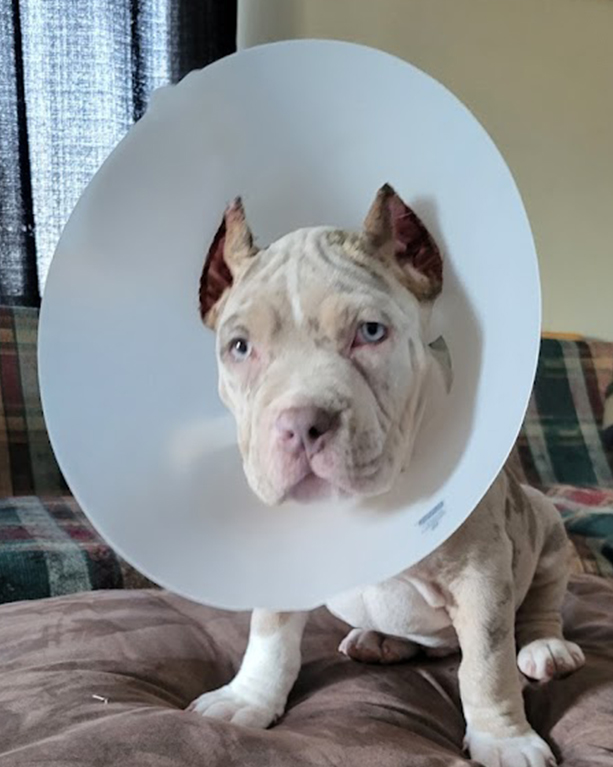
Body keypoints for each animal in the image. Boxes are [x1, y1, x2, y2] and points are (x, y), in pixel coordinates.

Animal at [188, 186, 584, 767]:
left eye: (370, 332)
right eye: (240, 347)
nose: (300, 424)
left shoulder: (483, 577)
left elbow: (487, 664)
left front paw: (504, 739)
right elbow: (270, 635)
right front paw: (246, 699)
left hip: (543, 520)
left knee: (539, 606)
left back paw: (545, 647)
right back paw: (378, 640)